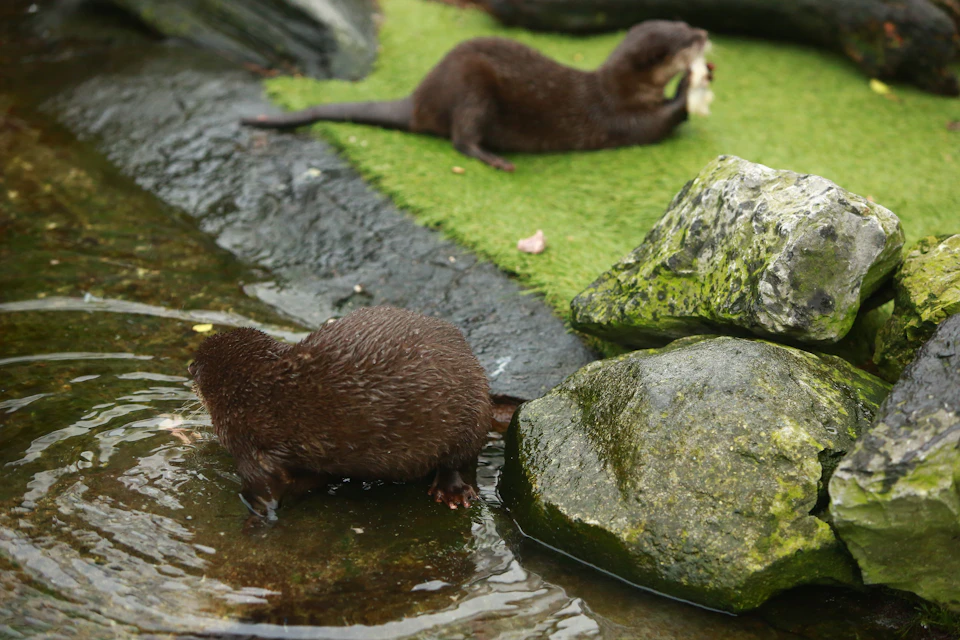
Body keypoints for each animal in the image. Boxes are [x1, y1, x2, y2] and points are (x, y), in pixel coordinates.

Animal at [189, 306, 492, 519]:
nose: (188, 368)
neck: (254, 387)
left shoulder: (244, 442)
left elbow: (263, 492)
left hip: (472, 414)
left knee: (457, 459)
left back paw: (451, 490)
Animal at [241, 20, 711, 171]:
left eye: (686, 23)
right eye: (685, 41)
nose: (705, 34)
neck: (618, 91)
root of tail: (419, 100)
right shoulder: (622, 117)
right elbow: (659, 123)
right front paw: (690, 85)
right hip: (473, 89)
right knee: (461, 138)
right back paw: (495, 159)